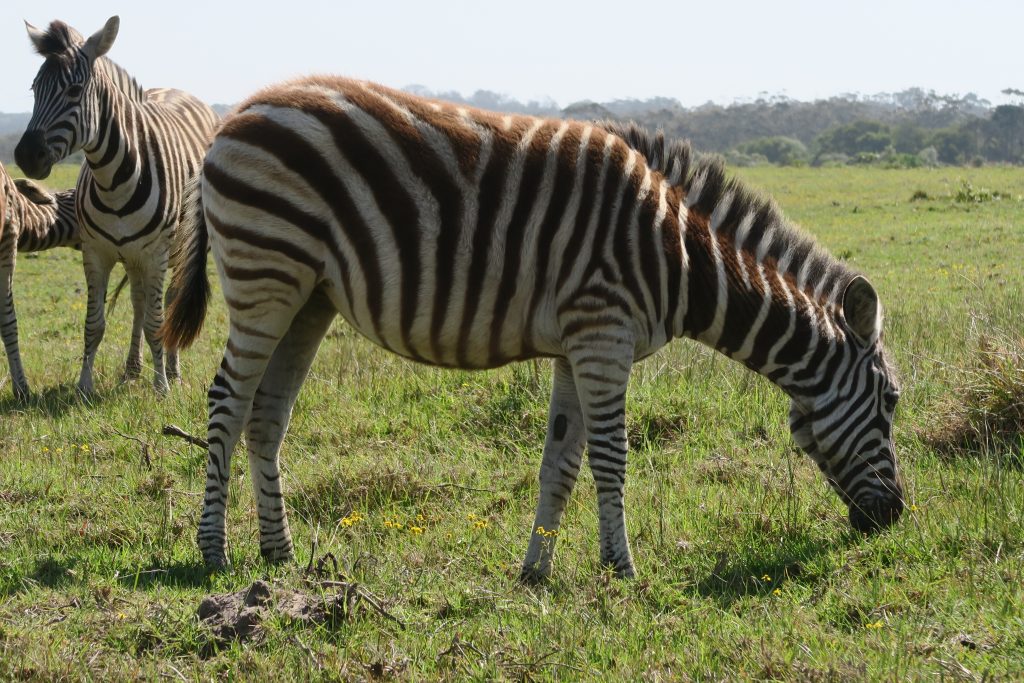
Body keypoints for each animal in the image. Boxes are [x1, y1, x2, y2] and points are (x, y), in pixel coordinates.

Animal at [14, 15, 219, 395]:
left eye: (75, 91)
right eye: (35, 89)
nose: (25, 156)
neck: (114, 180)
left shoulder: (156, 255)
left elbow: (155, 322)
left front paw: (161, 387)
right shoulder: (96, 252)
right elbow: (94, 323)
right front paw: (84, 386)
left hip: (180, 248)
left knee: (169, 300)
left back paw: (172, 371)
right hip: (133, 255)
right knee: (138, 302)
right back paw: (132, 369)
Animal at [159, 77, 905, 581]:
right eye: (892, 402)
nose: (895, 517)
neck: (683, 260)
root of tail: (240, 111)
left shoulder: (578, 345)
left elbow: (561, 461)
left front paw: (535, 572)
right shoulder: (604, 335)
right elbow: (611, 457)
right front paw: (621, 567)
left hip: (308, 297)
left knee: (267, 416)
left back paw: (278, 553)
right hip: (264, 275)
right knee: (227, 403)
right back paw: (212, 550)